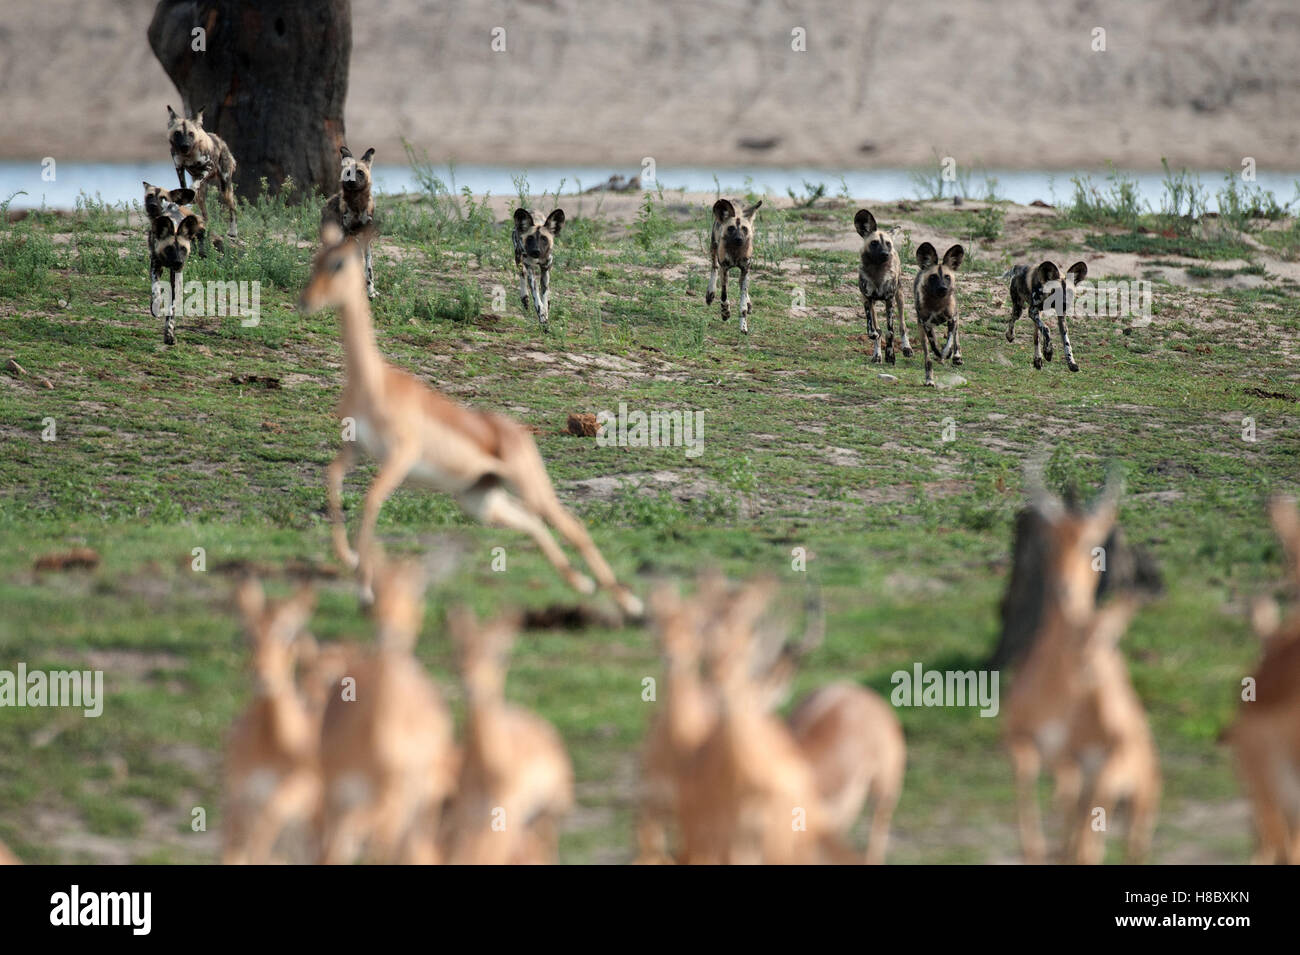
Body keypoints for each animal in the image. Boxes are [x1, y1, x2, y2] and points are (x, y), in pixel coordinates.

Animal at [298, 221, 643, 618]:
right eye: (316, 258)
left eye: (339, 263)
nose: (305, 301)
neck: (374, 382)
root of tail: (518, 432)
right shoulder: (356, 448)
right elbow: (333, 479)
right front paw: (350, 563)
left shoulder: (401, 456)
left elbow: (370, 504)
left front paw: (365, 589)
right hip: (479, 501)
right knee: (531, 523)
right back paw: (583, 585)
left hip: (528, 488)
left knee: (572, 526)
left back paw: (630, 602)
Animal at [1002, 475, 1162, 864]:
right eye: (1048, 540)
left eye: (1094, 543)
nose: (1065, 590)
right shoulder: (1031, 744)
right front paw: (1036, 847)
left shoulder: (1093, 767)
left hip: (1139, 804)